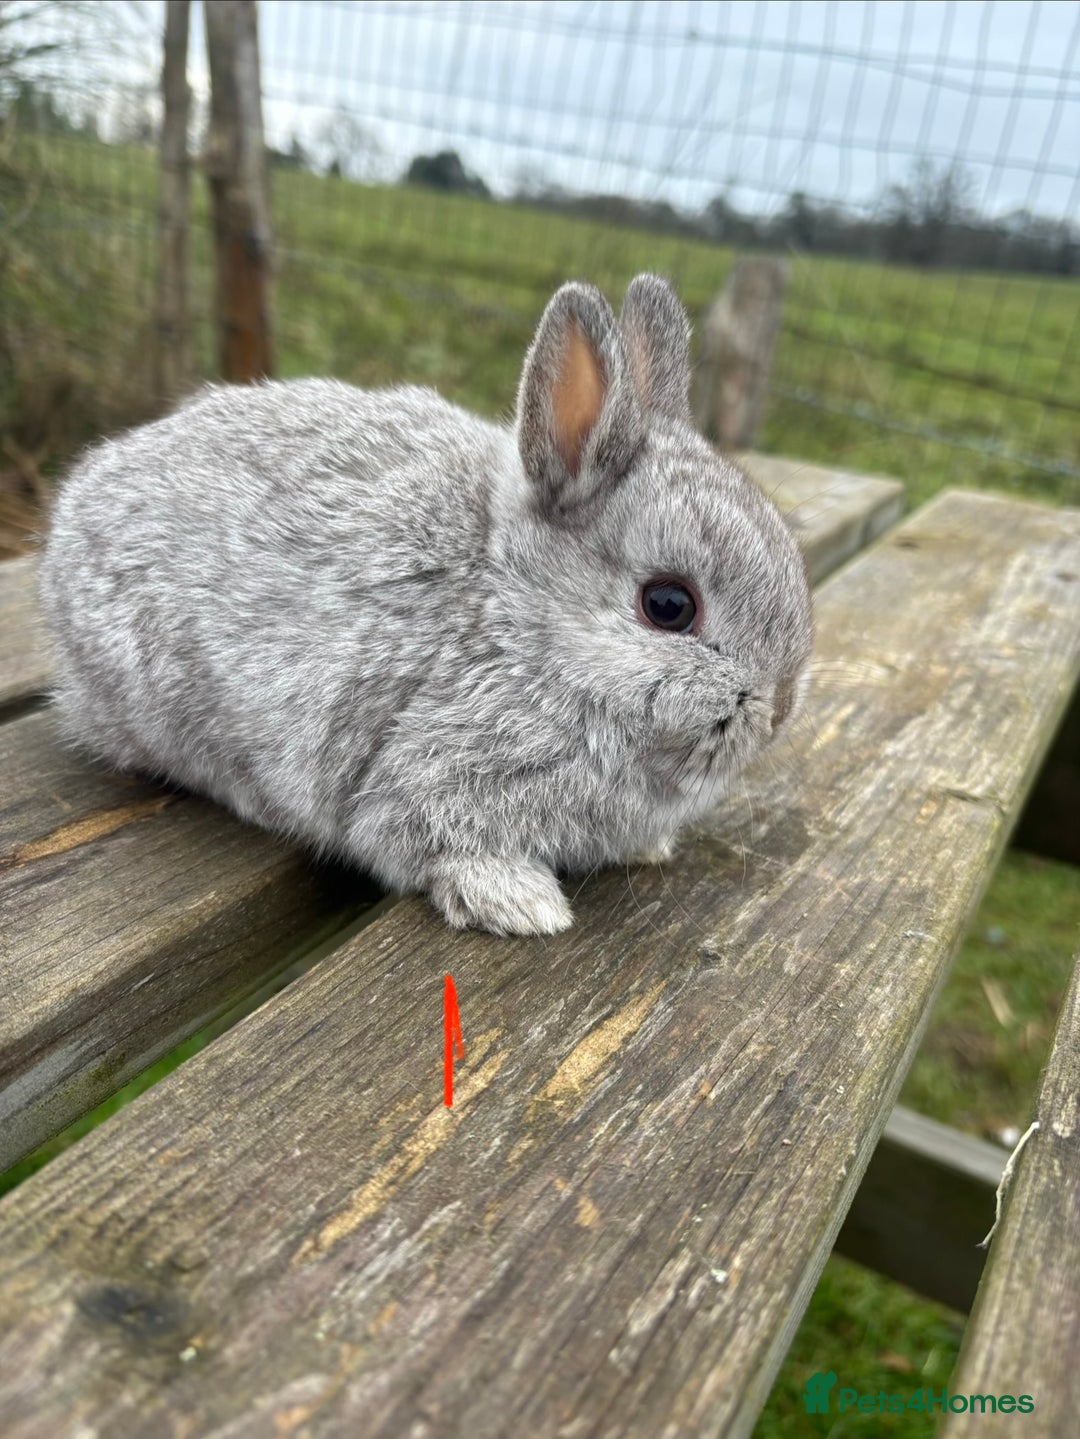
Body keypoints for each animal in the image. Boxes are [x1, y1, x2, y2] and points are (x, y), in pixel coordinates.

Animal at [40, 274, 812, 936]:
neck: (515, 617)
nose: (776, 710)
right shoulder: (423, 781)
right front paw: (525, 906)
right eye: (669, 605)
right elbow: (436, 846)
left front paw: (648, 849)